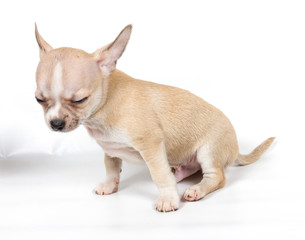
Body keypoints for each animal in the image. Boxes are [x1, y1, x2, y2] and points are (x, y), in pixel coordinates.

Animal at [34, 24, 274, 212]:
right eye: (39, 99)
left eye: (79, 100)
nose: (55, 123)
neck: (106, 103)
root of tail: (236, 149)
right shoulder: (110, 149)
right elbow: (111, 168)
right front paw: (110, 185)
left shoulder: (151, 144)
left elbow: (159, 174)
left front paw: (168, 199)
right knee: (189, 169)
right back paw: (179, 173)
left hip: (209, 151)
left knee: (217, 177)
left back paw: (196, 189)